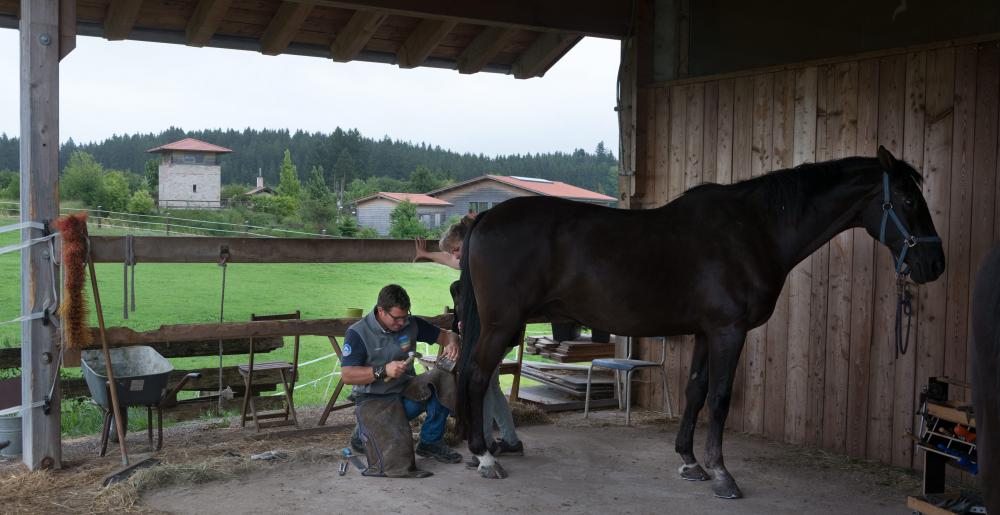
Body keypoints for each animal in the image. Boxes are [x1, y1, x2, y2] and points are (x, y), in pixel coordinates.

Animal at [458, 146, 940, 500]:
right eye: (908, 200)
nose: (935, 263)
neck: (754, 230)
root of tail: (485, 216)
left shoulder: (706, 332)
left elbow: (696, 390)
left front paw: (690, 462)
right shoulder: (729, 331)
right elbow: (721, 398)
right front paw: (723, 474)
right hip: (501, 325)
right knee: (478, 376)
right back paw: (485, 457)